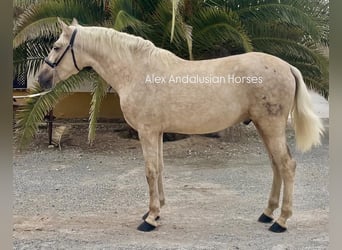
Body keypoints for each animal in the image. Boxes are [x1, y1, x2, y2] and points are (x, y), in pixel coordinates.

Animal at [37, 18, 324, 233]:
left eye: (56, 46)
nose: (42, 79)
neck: (137, 71)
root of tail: (287, 66)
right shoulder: (157, 132)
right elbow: (160, 169)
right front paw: (156, 210)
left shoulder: (147, 132)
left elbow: (150, 170)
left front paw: (150, 219)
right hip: (264, 127)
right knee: (277, 166)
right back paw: (267, 213)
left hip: (270, 126)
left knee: (287, 166)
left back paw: (281, 221)